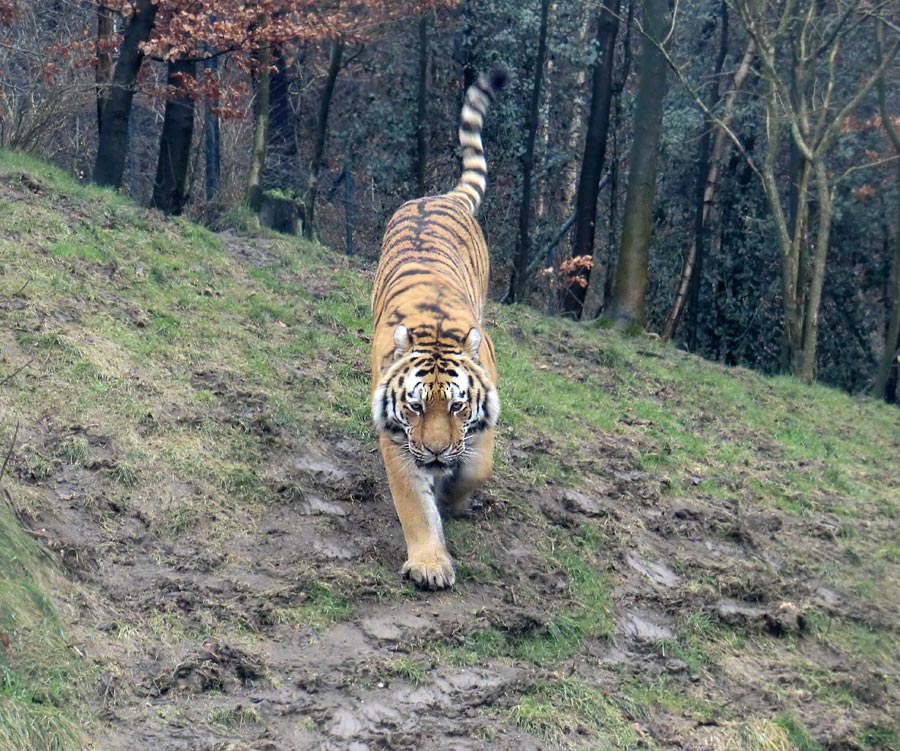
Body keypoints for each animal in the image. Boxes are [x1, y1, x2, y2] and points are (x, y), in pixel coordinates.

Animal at [368, 67, 506, 592]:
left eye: (458, 405)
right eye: (414, 406)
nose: (435, 452)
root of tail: (439, 195)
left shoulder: (482, 422)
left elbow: (477, 466)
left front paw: (453, 495)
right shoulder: (398, 438)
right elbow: (414, 504)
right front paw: (429, 564)